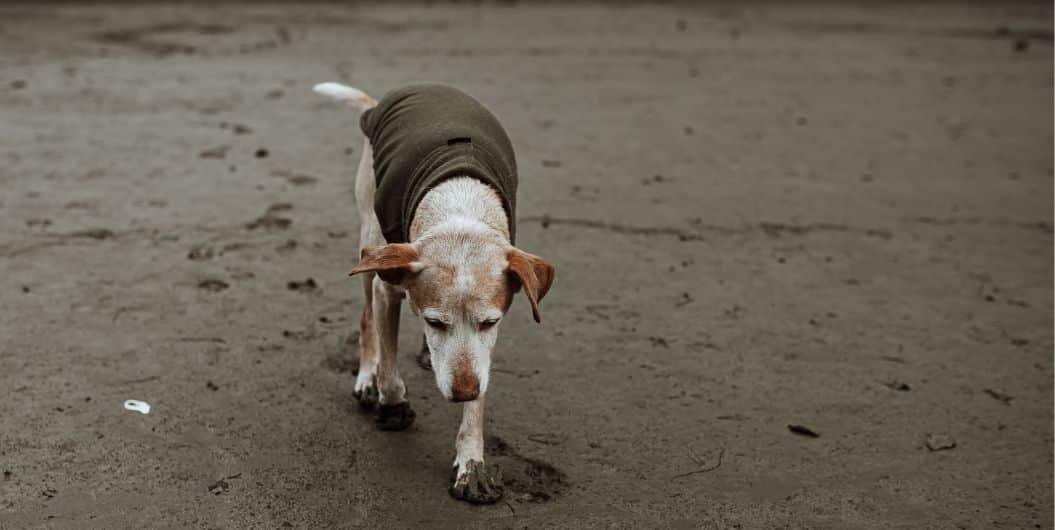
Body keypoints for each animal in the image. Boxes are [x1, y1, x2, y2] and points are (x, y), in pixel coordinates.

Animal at [312, 80, 557, 502]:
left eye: (490, 322)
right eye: (435, 321)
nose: (463, 391)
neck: (458, 210)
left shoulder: (487, 343)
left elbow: (480, 391)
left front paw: (471, 461)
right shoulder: (387, 286)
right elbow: (390, 371)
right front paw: (392, 405)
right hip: (368, 238)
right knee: (365, 320)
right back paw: (366, 376)